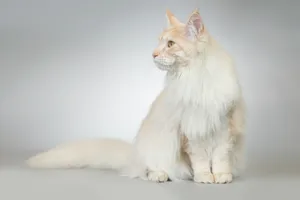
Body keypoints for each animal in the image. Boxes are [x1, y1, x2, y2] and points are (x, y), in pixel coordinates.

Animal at [26, 9, 246, 184]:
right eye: (159, 43)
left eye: (170, 44)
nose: (153, 54)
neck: (197, 77)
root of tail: (133, 154)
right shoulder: (191, 131)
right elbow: (200, 159)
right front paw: (204, 176)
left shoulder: (224, 127)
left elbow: (219, 157)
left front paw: (221, 176)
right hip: (154, 145)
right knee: (147, 169)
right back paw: (159, 175)